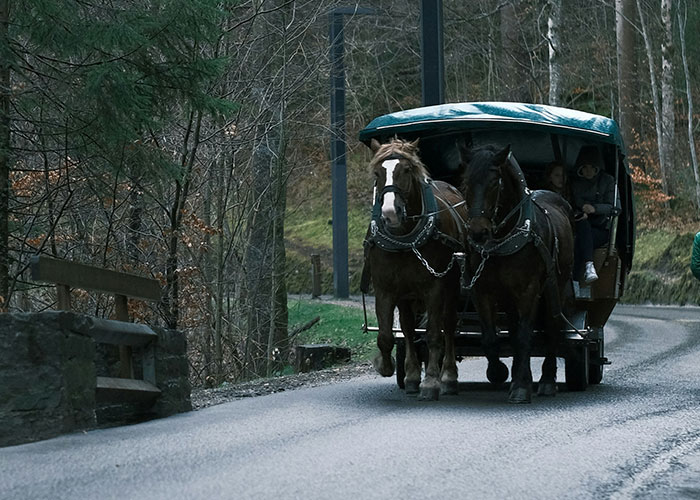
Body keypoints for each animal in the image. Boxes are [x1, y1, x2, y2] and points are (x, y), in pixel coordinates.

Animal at [364, 139, 468, 400]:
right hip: (407, 297)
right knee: (409, 330)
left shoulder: (435, 289)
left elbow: (433, 335)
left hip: (451, 288)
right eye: (377, 173)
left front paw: (431, 382)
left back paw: (448, 376)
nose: (390, 214)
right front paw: (386, 365)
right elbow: (387, 335)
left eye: (406, 170)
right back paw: (411, 377)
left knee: (448, 327)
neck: (405, 241)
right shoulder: (386, 290)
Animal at [460, 143, 576, 404]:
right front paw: (499, 372)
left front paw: (522, 388)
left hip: (556, 288)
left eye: (495, 182)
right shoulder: (482, 291)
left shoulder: (528, 291)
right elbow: (491, 338)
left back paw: (546, 381)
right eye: (466, 182)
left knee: (551, 329)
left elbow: (525, 336)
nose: (478, 233)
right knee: (514, 331)